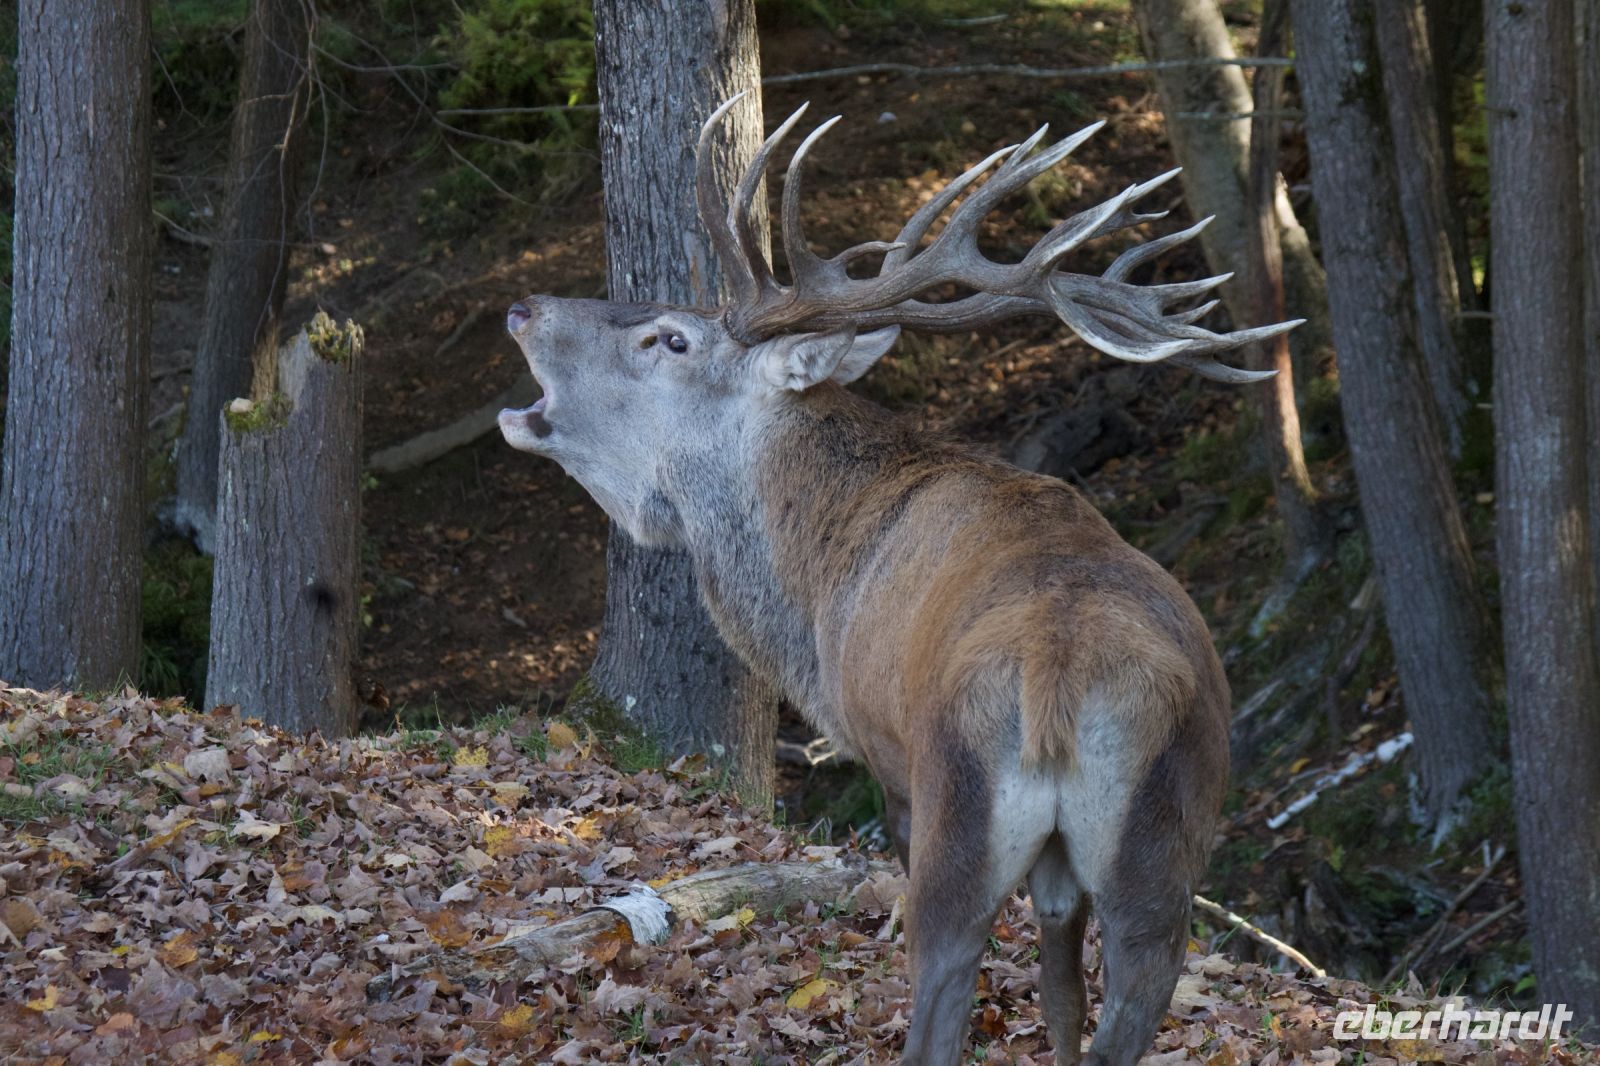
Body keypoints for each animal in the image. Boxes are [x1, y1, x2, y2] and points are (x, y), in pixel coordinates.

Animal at [498, 95, 1296, 1066]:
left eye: (671, 338)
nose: (525, 307)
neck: (813, 588)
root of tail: (1059, 673)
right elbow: (1061, 992)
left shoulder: (887, 758)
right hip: (1166, 843)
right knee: (1127, 1001)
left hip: (961, 801)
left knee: (942, 985)